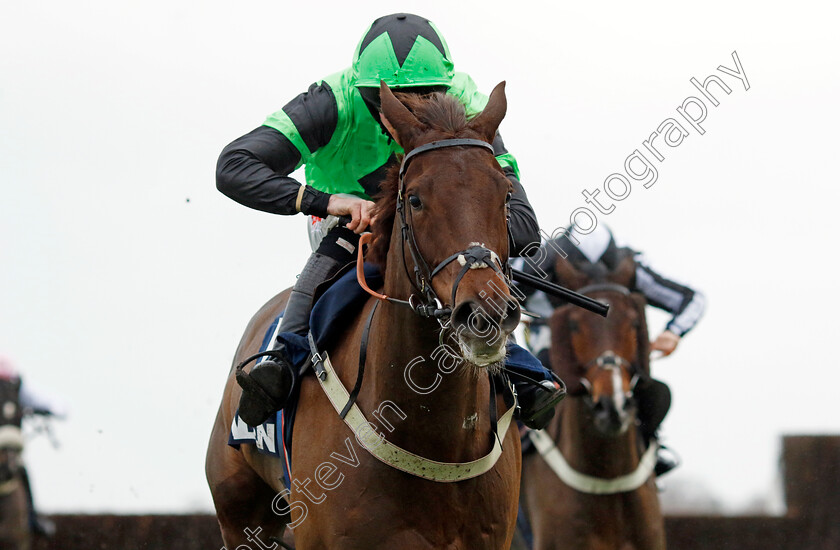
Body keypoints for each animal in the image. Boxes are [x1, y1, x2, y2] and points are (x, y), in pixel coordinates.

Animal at [207, 82, 520, 550]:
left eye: (504, 195)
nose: (486, 313)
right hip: (239, 515)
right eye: (415, 199)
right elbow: (235, 159)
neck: (434, 437)